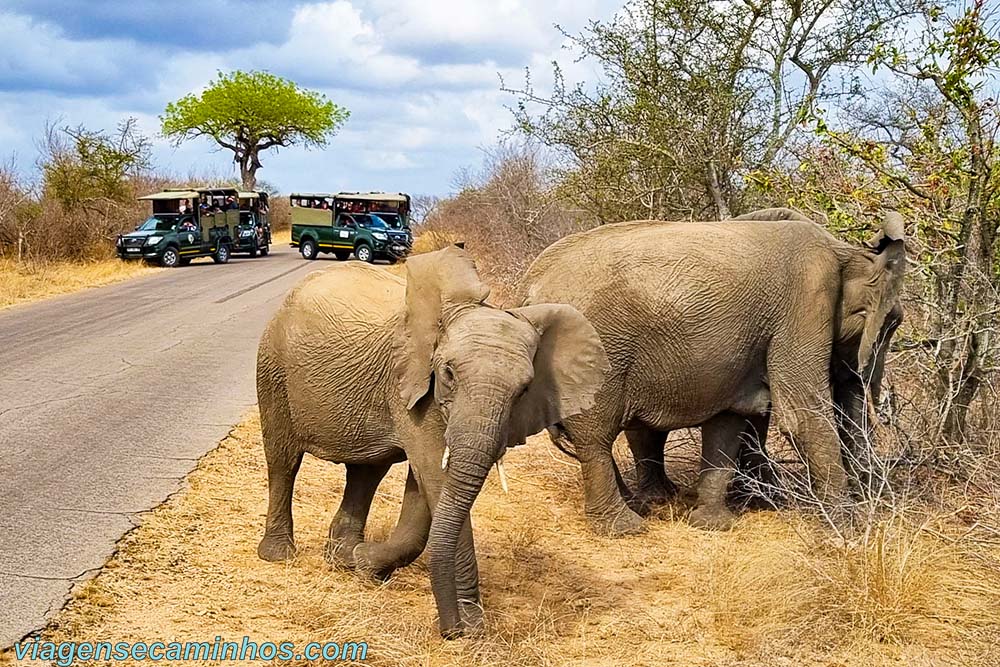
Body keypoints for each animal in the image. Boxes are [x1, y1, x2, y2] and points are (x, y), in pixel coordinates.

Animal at [254, 245, 604, 636]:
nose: (450, 631)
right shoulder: (412, 383)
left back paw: (341, 557)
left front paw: (365, 565)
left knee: (366, 471)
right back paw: (279, 555)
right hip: (272, 366)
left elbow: (427, 488)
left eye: (524, 389)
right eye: (449, 373)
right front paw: (472, 627)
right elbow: (434, 476)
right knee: (284, 460)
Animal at [516, 211, 908, 536]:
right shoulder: (803, 305)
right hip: (595, 353)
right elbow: (800, 414)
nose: (868, 494)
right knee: (595, 436)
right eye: (893, 324)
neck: (847, 253)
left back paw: (650, 502)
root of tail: (530, 285)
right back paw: (626, 527)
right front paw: (848, 528)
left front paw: (716, 524)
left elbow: (732, 418)